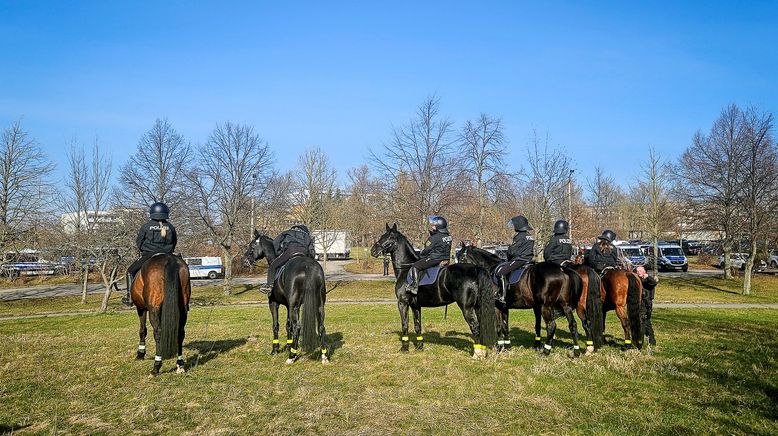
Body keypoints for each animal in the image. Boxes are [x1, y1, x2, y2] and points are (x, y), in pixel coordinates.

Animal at [242, 230, 328, 362]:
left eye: (251, 246)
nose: (245, 260)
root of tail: (308, 266)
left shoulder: (274, 304)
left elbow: (276, 326)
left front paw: (275, 349)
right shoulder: (288, 306)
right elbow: (288, 326)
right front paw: (288, 345)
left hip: (295, 306)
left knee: (297, 327)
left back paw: (292, 356)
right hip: (318, 304)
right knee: (321, 327)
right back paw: (324, 356)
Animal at [372, 225, 498, 358]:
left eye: (389, 238)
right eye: (382, 236)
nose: (373, 251)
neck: (406, 269)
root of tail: (476, 269)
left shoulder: (403, 303)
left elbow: (405, 325)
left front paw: (404, 348)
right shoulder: (415, 305)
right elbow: (417, 325)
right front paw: (419, 347)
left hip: (467, 308)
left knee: (475, 327)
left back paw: (477, 354)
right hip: (478, 307)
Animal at [452, 244, 584, 356]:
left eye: (462, 258)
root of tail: (562, 269)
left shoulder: (496, 307)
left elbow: (499, 327)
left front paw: (500, 349)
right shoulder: (504, 307)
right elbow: (505, 327)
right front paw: (507, 347)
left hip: (546, 306)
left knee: (551, 325)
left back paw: (546, 351)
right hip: (565, 305)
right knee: (572, 324)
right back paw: (576, 352)